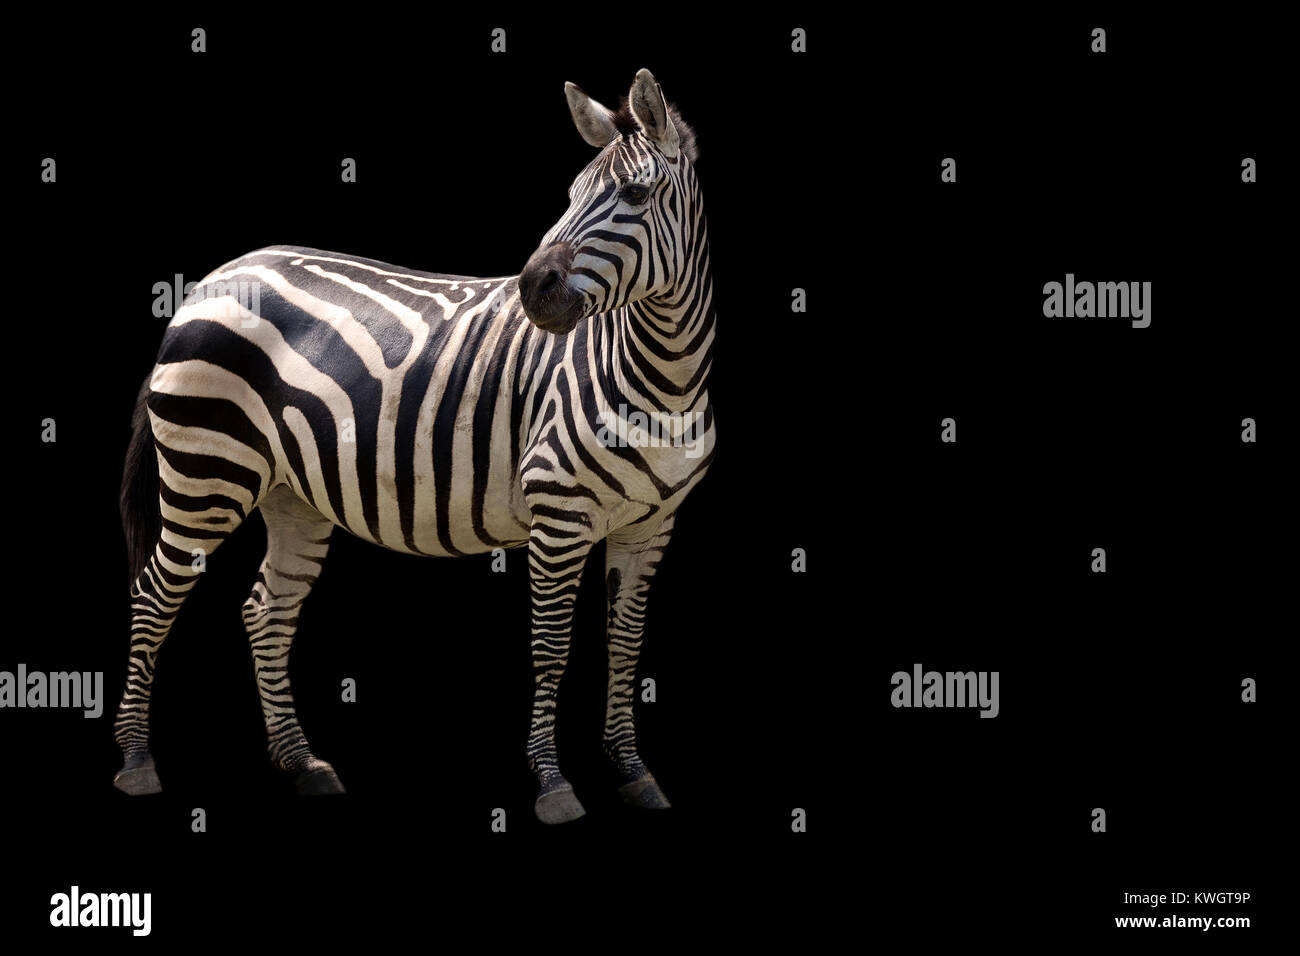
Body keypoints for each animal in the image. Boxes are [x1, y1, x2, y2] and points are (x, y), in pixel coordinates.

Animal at [113, 69, 715, 824]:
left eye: (634, 195)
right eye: (571, 194)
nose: (532, 290)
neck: (663, 378)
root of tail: (209, 281)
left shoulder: (652, 525)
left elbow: (627, 648)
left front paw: (635, 773)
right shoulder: (560, 513)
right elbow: (551, 647)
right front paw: (553, 784)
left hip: (290, 493)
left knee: (265, 610)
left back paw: (301, 762)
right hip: (207, 473)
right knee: (152, 596)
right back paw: (136, 762)